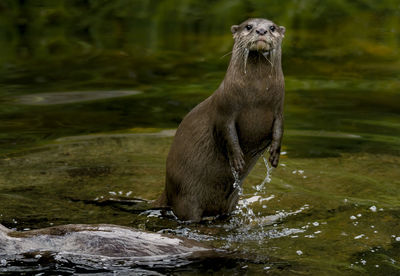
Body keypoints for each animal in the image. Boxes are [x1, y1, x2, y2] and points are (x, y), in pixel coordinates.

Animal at [158, 18, 286, 222]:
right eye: (248, 26)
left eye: (272, 27)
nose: (261, 31)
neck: (256, 97)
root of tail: (167, 190)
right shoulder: (225, 109)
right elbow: (227, 132)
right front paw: (237, 159)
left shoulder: (278, 109)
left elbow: (279, 129)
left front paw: (274, 154)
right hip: (185, 196)